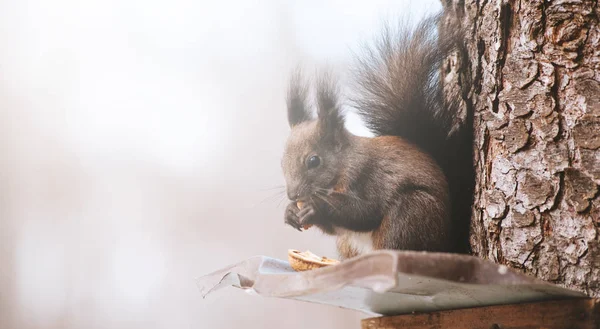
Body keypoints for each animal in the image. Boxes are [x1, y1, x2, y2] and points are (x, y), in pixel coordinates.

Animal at [280, 12, 474, 258]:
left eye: (314, 161)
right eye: (281, 163)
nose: (293, 196)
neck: (343, 165)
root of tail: (447, 245)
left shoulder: (369, 176)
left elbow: (364, 211)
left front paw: (317, 206)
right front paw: (289, 212)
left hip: (410, 215)